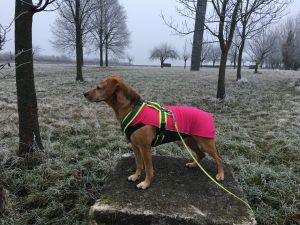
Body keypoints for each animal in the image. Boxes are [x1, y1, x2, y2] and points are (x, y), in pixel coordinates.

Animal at [83, 75, 224, 190]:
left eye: (99, 87)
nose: (84, 93)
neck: (131, 109)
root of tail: (208, 115)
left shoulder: (145, 148)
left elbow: (149, 169)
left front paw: (146, 183)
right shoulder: (135, 146)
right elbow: (139, 164)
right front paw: (136, 176)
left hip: (205, 142)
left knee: (218, 157)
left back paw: (220, 174)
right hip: (189, 140)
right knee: (201, 154)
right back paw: (193, 164)